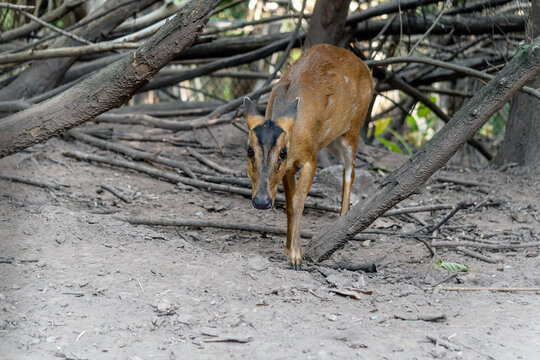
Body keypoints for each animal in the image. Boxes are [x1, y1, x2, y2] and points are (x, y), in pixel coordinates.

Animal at [243, 43, 374, 268]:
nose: (261, 201)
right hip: (333, 139)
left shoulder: (310, 159)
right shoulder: (287, 170)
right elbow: (288, 204)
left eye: (283, 152)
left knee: (351, 170)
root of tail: (367, 68)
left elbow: (298, 202)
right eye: (249, 150)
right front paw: (287, 249)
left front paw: (297, 257)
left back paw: (341, 233)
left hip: (353, 127)